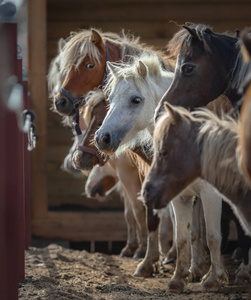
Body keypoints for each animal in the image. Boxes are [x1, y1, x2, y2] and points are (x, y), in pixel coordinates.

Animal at [94, 52, 229, 292]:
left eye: (136, 100)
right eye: (111, 99)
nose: (103, 138)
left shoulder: (210, 194)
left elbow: (213, 236)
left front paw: (213, 279)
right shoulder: (181, 197)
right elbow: (183, 236)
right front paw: (179, 278)